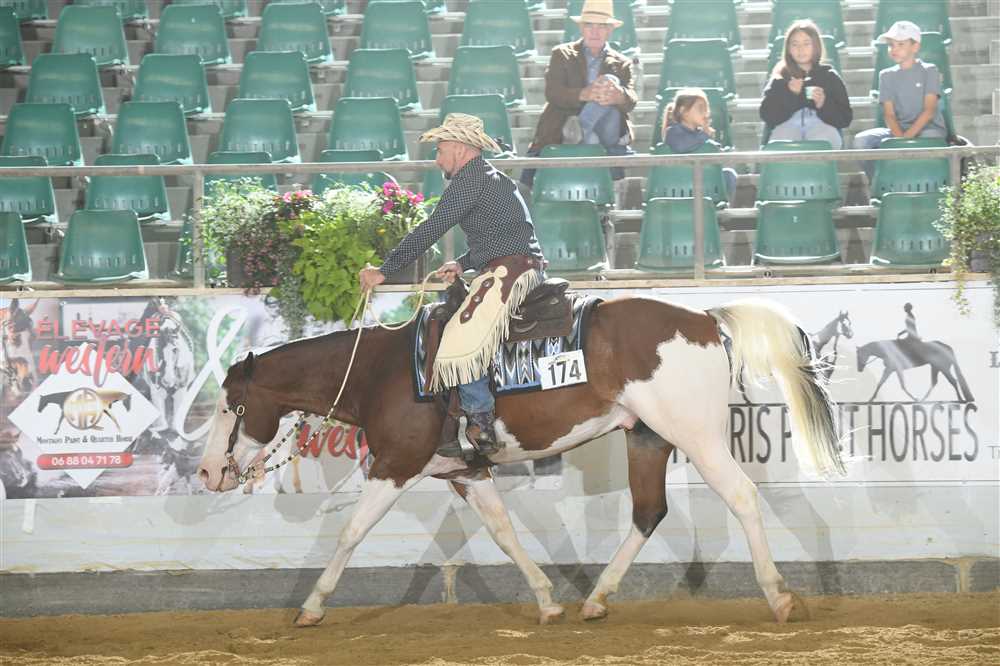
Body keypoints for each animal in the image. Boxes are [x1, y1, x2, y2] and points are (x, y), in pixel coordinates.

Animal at [198, 296, 845, 627]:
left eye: (232, 405)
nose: (207, 472)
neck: (381, 372)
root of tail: (705, 320)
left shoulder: (396, 463)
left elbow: (351, 531)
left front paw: (311, 607)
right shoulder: (465, 471)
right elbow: (503, 531)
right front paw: (546, 600)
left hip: (697, 436)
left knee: (741, 497)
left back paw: (779, 597)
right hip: (647, 437)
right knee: (647, 513)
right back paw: (595, 599)